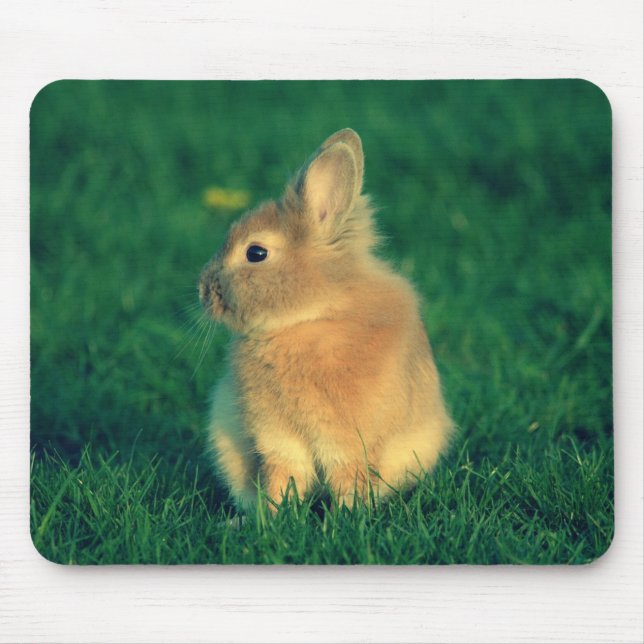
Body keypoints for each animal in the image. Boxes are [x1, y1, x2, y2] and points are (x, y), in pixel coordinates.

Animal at [198, 128, 452, 511]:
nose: (202, 289)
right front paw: (270, 517)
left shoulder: (347, 442)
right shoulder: (277, 439)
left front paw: (346, 517)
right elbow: (282, 476)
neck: (309, 318)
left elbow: (346, 478)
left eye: (256, 253)